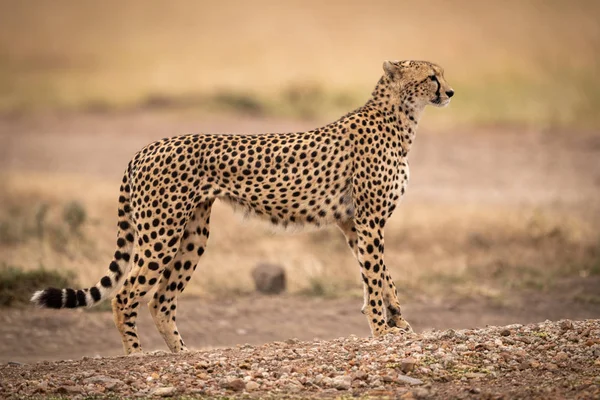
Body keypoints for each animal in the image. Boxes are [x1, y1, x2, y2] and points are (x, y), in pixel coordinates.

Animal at [30, 59, 452, 354]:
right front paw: (382, 331)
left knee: (161, 300)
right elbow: (377, 277)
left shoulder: (352, 223)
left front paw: (399, 324)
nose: (449, 92)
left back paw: (183, 354)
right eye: (432, 75)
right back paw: (136, 355)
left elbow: (381, 277)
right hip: (162, 233)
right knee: (126, 294)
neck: (400, 117)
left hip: (193, 234)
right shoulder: (367, 220)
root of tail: (147, 147)